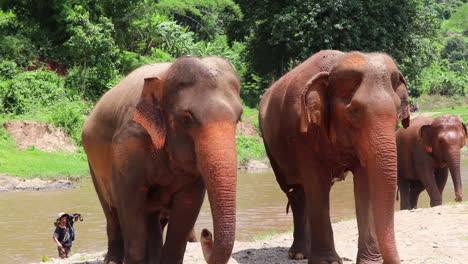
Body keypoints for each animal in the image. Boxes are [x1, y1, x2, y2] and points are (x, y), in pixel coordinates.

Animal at [82, 56, 241, 264]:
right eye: (187, 118)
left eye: (239, 118)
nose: (206, 233)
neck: (164, 77)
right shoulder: (129, 144)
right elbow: (130, 201)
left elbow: (188, 205)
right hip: (93, 165)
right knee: (111, 210)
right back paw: (113, 260)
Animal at [260, 50, 410, 264]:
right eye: (354, 111)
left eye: (398, 111)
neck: (333, 69)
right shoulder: (303, 133)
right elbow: (316, 183)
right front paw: (327, 262)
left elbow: (364, 183)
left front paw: (369, 262)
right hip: (271, 148)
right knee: (296, 192)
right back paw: (299, 254)